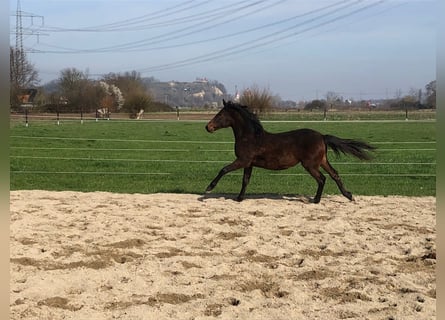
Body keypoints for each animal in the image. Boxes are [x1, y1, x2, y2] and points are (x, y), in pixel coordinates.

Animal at [205, 100, 374, 204]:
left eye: (220, 114)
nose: (208, 127)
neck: (251, 137)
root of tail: (322, 136)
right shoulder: (249, 163)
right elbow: (245, 180)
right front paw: (239, 198)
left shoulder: (242, 160)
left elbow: (224, 169)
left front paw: (209, 188)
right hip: (322, 161)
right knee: (334, 174)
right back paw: (349, 196)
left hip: (310, 165)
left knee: (322, 179)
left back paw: (316, 200)